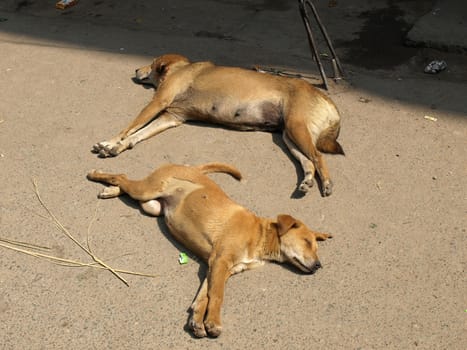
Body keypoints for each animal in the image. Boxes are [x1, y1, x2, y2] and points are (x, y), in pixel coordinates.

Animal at [87, 163, 332, 338]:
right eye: (307, 242)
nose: (319, 266)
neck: (260, 235)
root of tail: (192, 167)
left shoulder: (220, 267)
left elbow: (205, 294)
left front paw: (197, 320)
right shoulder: (221, 261)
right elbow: (217, 295)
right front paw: (213, 322)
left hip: (152, 206)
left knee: (125, 183)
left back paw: (110, 190)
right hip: (148, 190)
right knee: (121, 175)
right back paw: (96, 174)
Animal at [93, 54, 346, 197]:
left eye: (152, 63)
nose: (136, 70)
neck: (180, 68)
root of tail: (329, 102)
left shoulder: (158, 103)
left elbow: (129, 127)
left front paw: (109, 143)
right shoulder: (171, 117)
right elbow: (138, 135)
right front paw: (118, 147)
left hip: (296, 127)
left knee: (318, 157)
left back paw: (327, 183)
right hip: (288, 136)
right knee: (308, 162)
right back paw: (306, 182)